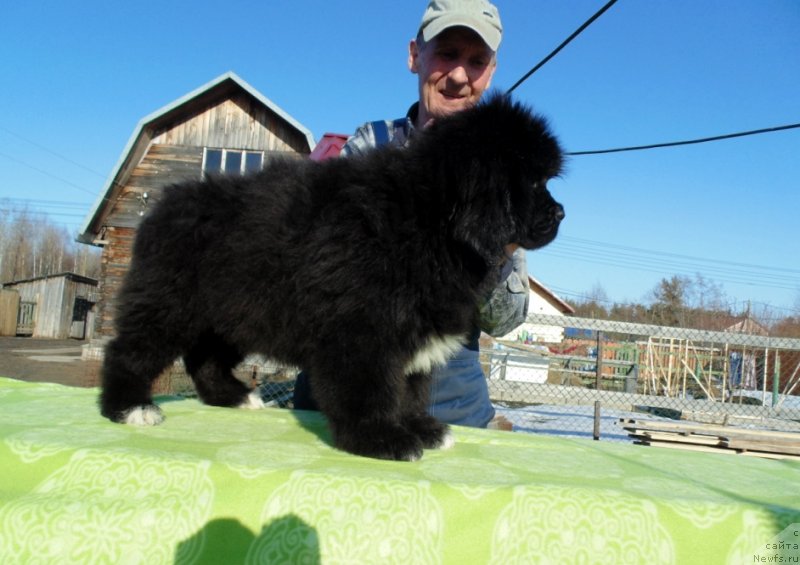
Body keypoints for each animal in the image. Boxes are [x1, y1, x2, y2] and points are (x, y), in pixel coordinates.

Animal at [100, 93, 564, 462]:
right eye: (533, 183)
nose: (560, 212)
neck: (430, 218)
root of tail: (162, 207)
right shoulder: (360, 331)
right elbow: (369, 390)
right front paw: (380, 439)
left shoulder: (412, 334)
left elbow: (410, 390)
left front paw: (420, 428)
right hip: (166, 303)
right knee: (129, 351)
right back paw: (130, 408)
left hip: (231, 314)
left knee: (206, 360)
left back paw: (233, 398)